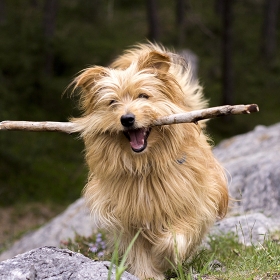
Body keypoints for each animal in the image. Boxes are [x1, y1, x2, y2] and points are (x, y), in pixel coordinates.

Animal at [69, 42, 228, 278]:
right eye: (112, 102)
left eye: (143, 96)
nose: (127, 119)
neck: (144, 165)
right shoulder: (127, 218)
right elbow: (137, 250)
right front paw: (149, 274)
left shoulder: (191, 203)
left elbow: (174, 239)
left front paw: (164, 255)